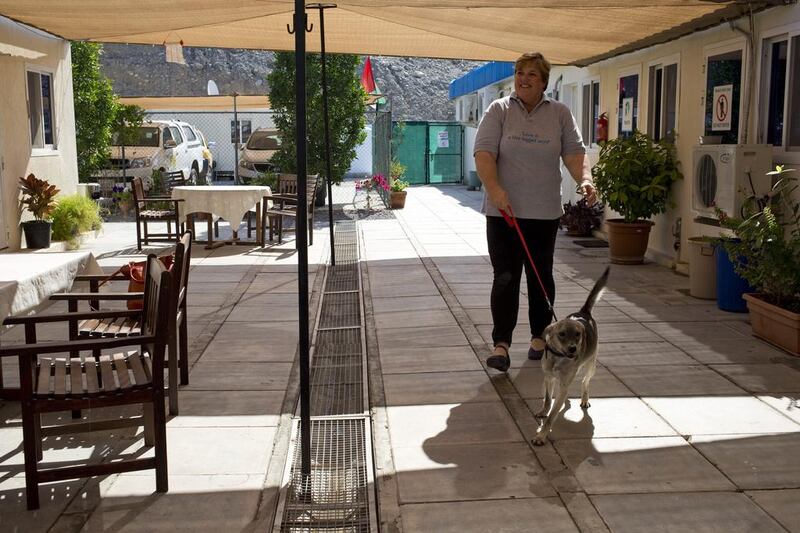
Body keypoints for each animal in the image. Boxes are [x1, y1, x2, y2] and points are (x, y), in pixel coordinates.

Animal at [536, 266, 608, 444]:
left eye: (577, 334)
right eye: (561, 334)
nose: (573, 349)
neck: (558, 357)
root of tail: (584, 313)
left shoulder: (562, 386)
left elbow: (552, 416)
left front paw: (541, 435)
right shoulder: (549, 378)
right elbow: (547, 399)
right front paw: (544, 411)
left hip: (591, 365)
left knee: (585, 381)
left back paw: (584, 399)